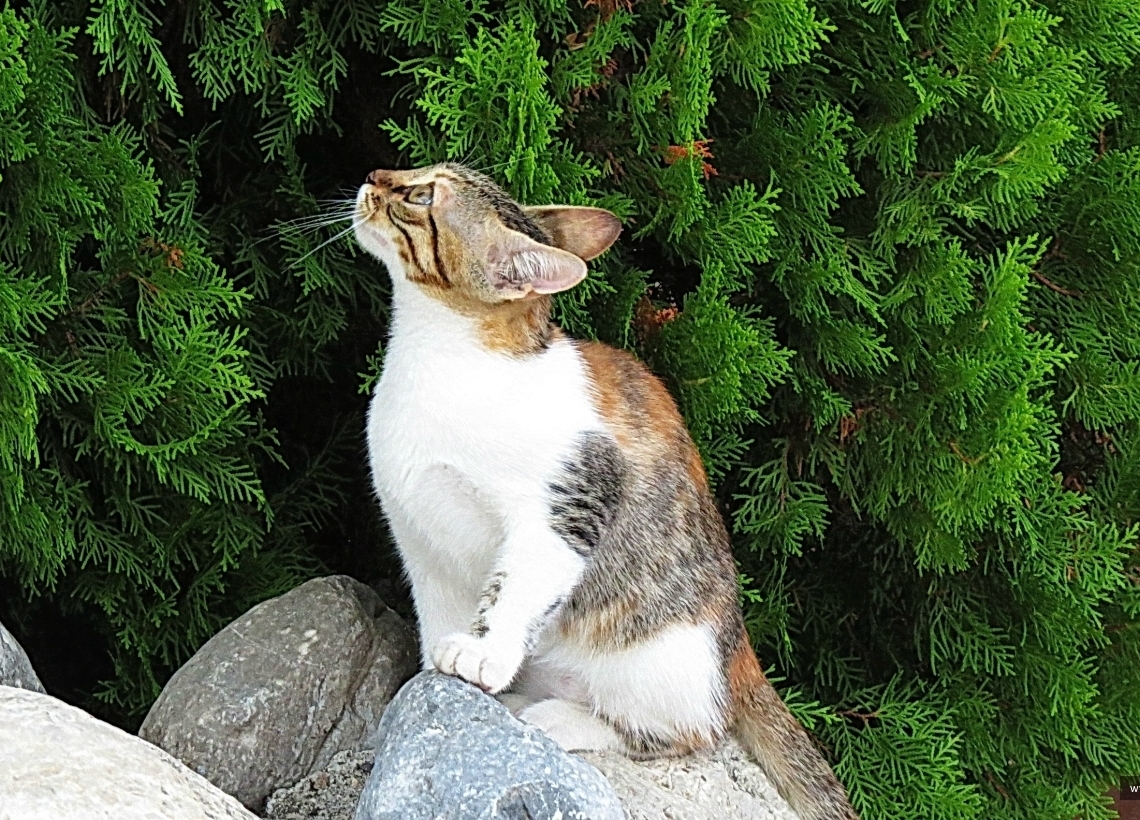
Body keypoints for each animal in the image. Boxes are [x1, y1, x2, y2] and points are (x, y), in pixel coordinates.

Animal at [354, 162, 858, 820]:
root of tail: (738, 652)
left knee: (689, 731)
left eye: (420, 195)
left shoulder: (570, 500)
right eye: (417, 174)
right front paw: (443, 673)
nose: (374, 175)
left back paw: (562, 719)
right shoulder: (417, 532)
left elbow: (515, 585)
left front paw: (484, 653)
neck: (445, 360)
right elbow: (440, 608)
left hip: (664, 661)